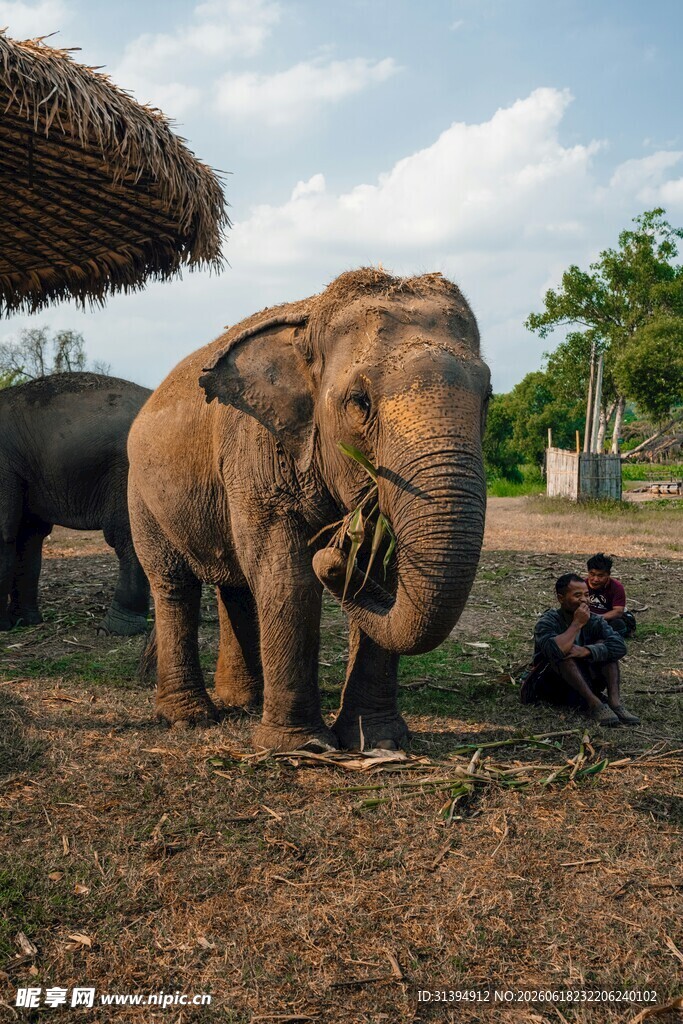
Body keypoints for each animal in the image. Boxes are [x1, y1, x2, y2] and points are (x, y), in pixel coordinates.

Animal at [128, 268, 490, 751]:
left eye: (488, 397)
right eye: (360, 402)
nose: (332, 556)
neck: (312, 322)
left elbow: (382, 571)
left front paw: (378, 742)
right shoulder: (257, 448)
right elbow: (287, 576)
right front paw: (301, 746)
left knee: (235, 584)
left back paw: (244, 701)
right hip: (141, 493)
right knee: (173, 584)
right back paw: (190, 718)